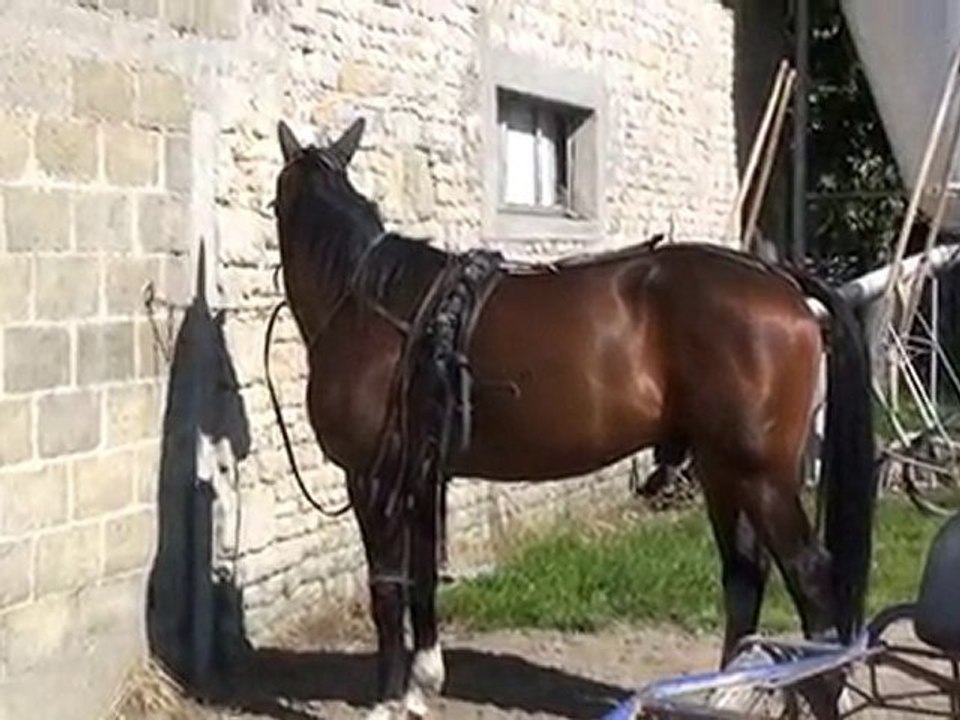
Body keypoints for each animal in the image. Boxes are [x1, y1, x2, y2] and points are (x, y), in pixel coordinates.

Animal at [270, 117, 878, 719]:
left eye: (274, 201)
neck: (371, 307)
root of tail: (779, 280)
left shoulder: (372, 478)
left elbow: (387, 586)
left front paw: (389, 698)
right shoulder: (422, 472)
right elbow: (420, 579)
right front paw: (421, 684)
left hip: (760, 477)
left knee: (812, 583)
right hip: (723, 469)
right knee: (746, 575)